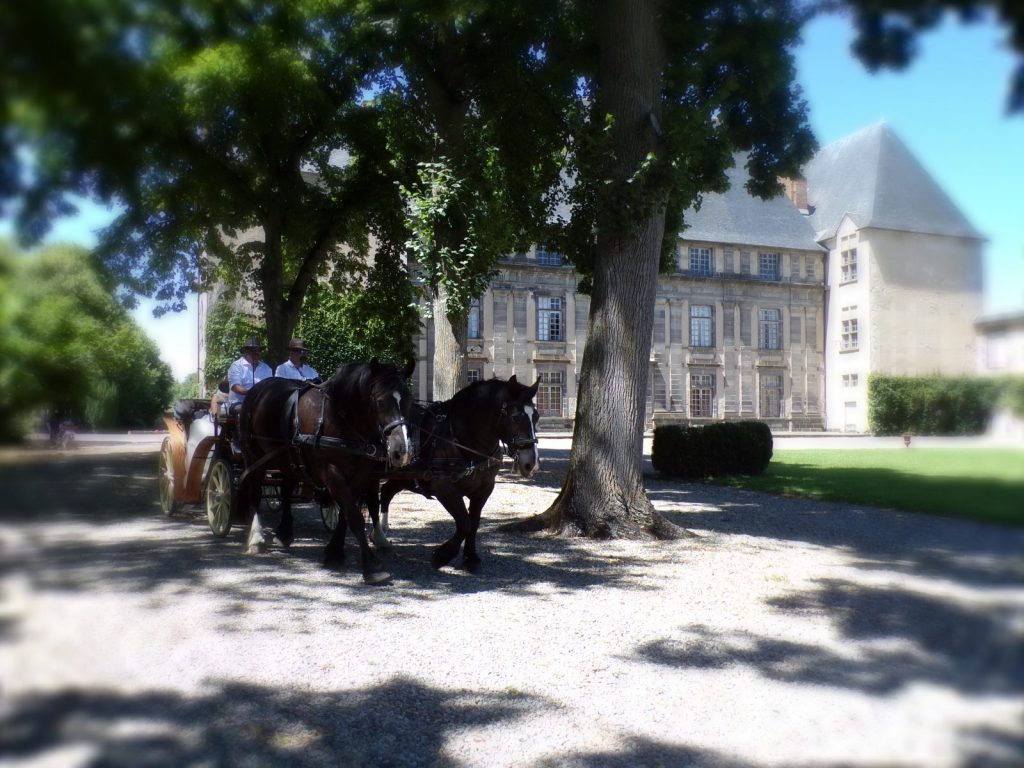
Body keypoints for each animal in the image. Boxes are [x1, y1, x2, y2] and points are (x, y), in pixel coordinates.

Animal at [237, 360, 413, 581]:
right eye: (380, 401)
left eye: (408, 399)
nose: (401, 450)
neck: (337, 416)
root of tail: (258, 388)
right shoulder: (332, 473)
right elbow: (354, 516)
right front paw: (371, 567)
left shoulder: (359, 476)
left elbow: (346, 514)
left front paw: (334, 552)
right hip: (254, 456)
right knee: (255, 492)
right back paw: (257, 537)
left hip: (289, 461)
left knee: (285, 491)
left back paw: (284, 532)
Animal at [370, 376, 544, 573]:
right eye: (515, 417)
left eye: (536, 416)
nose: (532, 464)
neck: (460, 440)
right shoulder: (444, 489)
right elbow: (464, 523)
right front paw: (442, 555)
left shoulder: (484, 489)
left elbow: (474, 522)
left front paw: (470, 557)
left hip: (402, 477)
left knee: (386, 492)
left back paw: (380, 534)